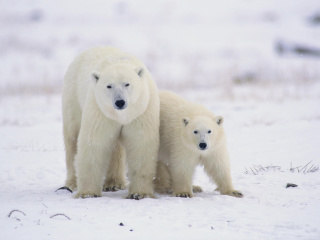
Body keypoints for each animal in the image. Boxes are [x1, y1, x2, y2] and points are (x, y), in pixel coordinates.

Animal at [61, 46, 159, 200]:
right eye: (109, 86)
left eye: (127, 84)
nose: (120, 102)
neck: (121, 115)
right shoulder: (100, 111)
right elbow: (95, 142)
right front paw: (88, 193)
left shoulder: (141, 111)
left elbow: (141, 144)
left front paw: (138, 193)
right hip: (73, 97)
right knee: (72, 138)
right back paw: (71, 184)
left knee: (116, 149)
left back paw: (114, 183)